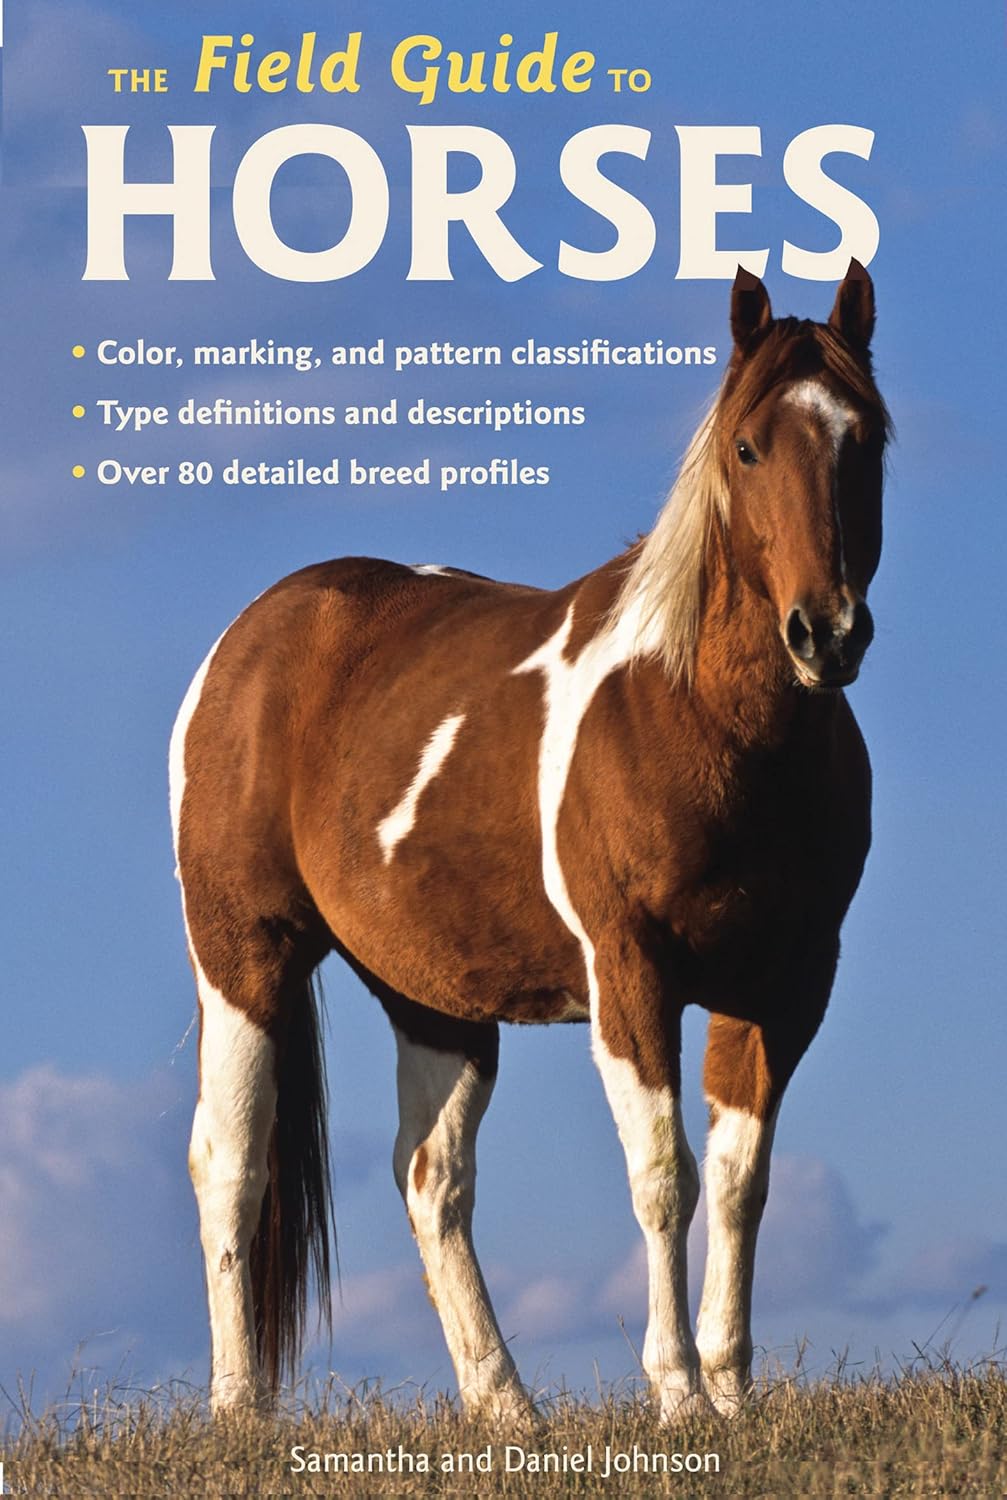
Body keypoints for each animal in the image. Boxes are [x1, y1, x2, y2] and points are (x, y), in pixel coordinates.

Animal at [170, 261, 889, 1422]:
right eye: (746, 447)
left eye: (862, 437)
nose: (824, 634)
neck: (698, 720)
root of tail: (251, 638)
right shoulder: (630, 973)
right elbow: (665, 1177)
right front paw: (678, 1396)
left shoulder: (783, 984)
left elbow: (742, 1182)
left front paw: (732, 1398)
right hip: (243, 955)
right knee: (230, 1161)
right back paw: (239, 1413)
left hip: (435, 999)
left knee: (429, 1179)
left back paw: (504, 1407)